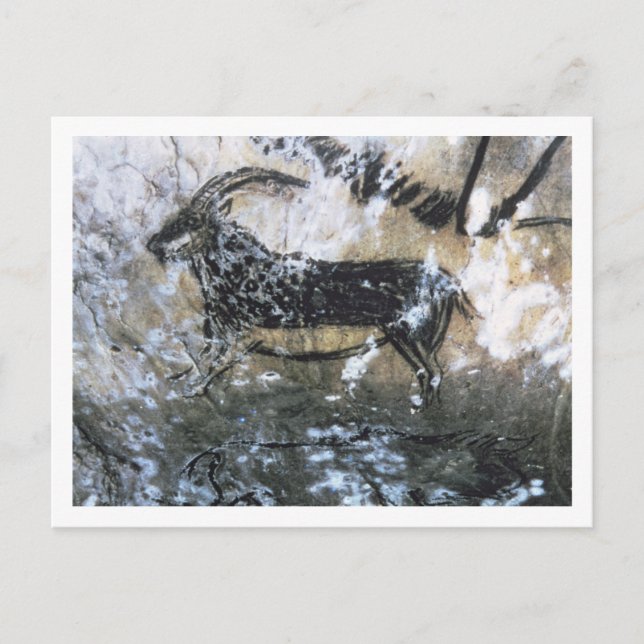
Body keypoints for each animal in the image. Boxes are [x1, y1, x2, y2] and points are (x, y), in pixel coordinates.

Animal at [147, 167, 473, 407]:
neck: (243, 273)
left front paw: (192, 390)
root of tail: (449, 284)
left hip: (414, 334)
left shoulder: (245, 336)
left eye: (195, 222)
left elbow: (216, 364)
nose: (153, 244)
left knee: (434, 371)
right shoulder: (216, 333)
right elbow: (202, 358)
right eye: (176, 218)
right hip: (403, 338)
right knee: (425, 371)